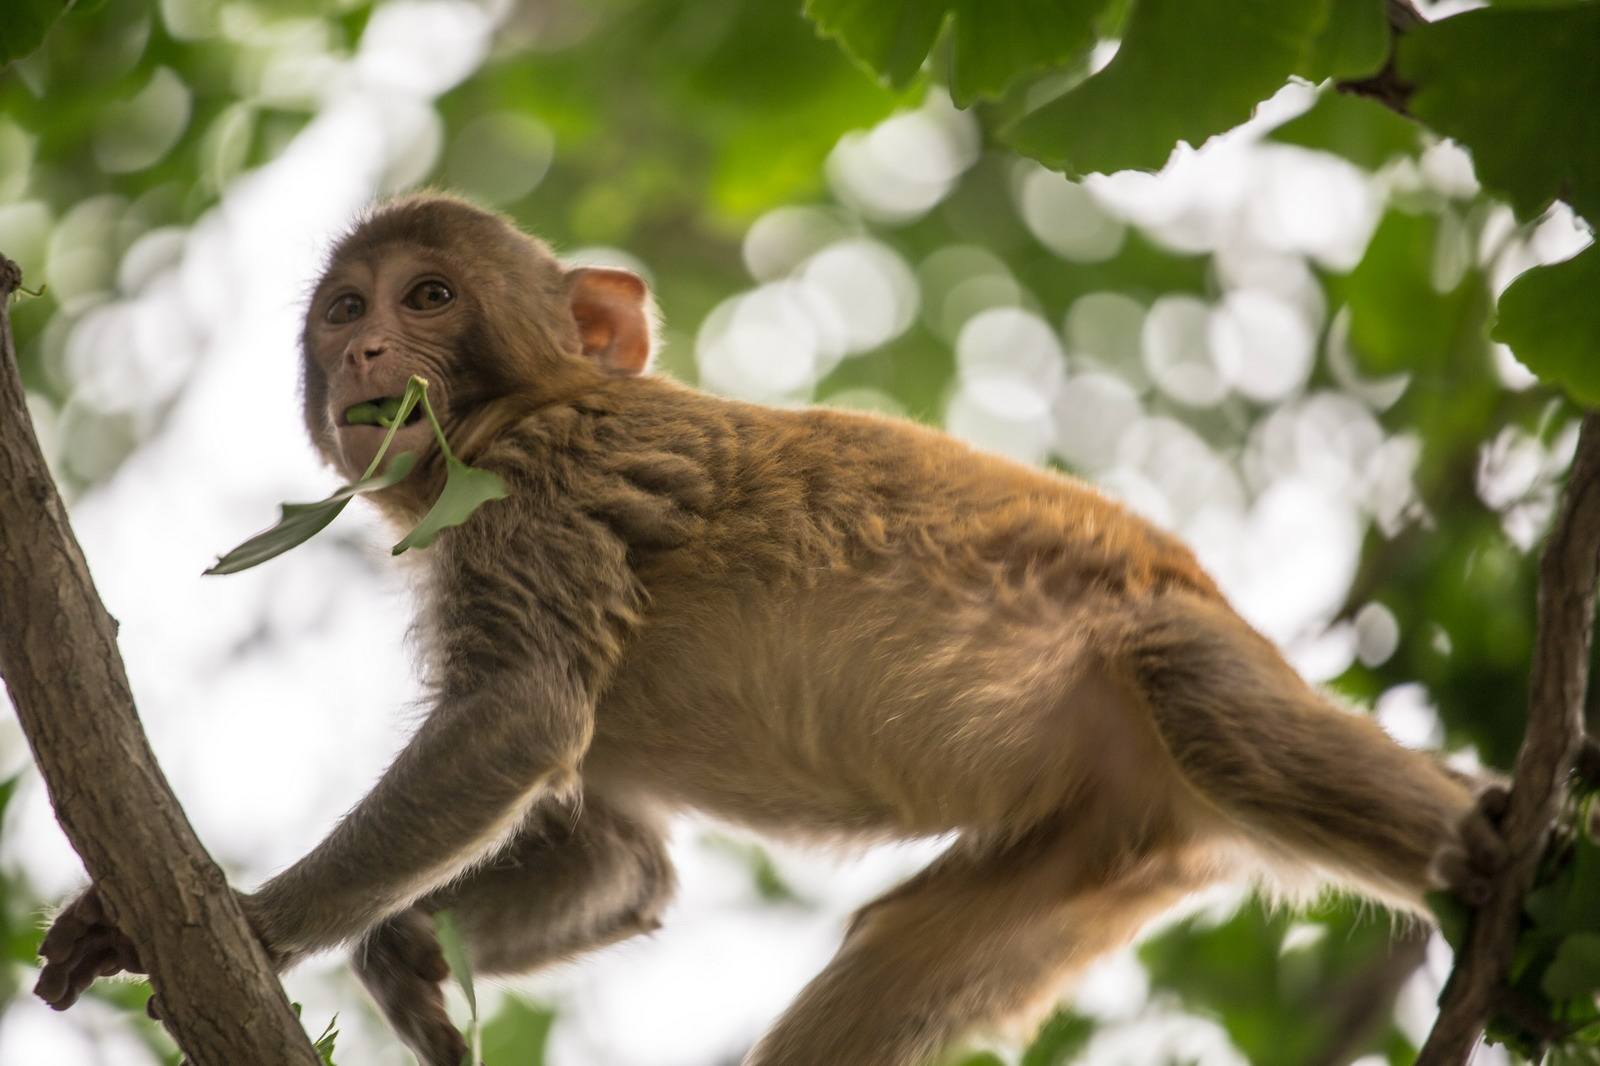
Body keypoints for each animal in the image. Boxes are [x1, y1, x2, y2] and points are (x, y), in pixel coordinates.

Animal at [37, 192, 1504, 1062]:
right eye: (345, 307)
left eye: (428, 297)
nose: (359, 355)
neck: (533, 403)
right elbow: (623, 860)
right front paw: (400, 948)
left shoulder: (532, 496)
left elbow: (520, 719)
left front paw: (250, 919)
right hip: (1092, 850)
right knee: (901, 946)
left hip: (1179, 668)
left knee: (1206, 699)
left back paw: (1505, 859)